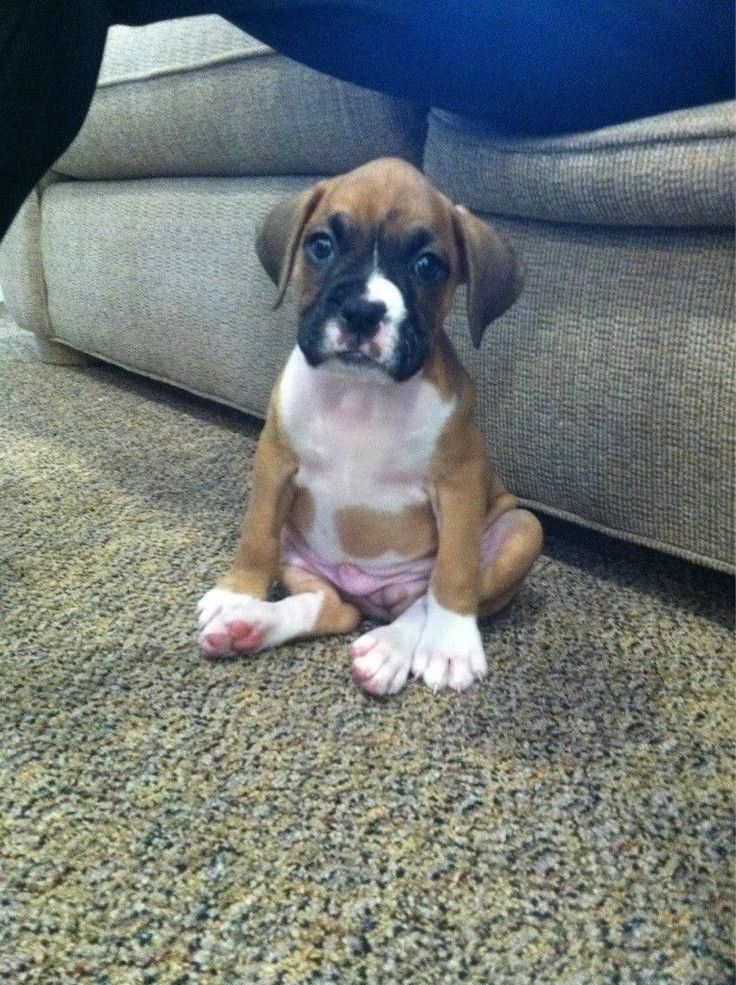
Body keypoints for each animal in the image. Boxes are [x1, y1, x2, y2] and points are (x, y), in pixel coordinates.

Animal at [198, 158, 544, 696]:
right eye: (321, 245)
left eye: (427, 265)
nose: (361, 311)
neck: (361, 395)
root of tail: (367, 596)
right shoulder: (275, 461)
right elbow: (256, 532)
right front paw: (238, 594)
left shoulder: (461, 480)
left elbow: (455, 569)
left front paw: (450, 645)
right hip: (298, 553)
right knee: (331, 606)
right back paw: (252, 624)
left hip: (522, 529)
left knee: (423, 598)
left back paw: (391, 647)